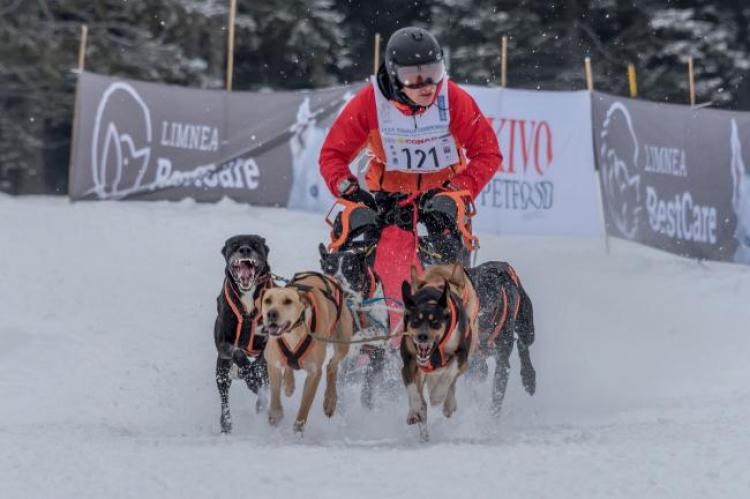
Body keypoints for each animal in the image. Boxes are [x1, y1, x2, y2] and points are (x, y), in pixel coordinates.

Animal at [213, 234, 274, 434]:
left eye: (255, 244)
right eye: (235, 244)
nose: (245, 249)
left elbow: (260, 364)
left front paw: (253, 376)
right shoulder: (223, 344)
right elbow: (238, 353)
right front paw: (250, 374)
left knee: (265, 390)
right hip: (221, 371)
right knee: (224, 399)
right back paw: (226, 424)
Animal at [260, 272, 354, 436]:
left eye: (288, 301)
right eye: (268, 300)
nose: (271, 313)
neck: (294, 332)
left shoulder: (314, 372)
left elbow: (305, 404)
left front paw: (298, 429)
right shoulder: (273, 364)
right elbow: (275, 394)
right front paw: (275, 415)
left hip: (343, 343)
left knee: (331, 366)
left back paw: (330, 400)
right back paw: (289, 384)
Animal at [402, 264, 478, 440]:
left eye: (435, 322)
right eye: (415, 321)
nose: (422, 336)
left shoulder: (461, 356)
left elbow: (449, 375)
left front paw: (438, 396)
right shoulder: (409, 362)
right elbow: (412, 390)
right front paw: (415, 411)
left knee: (450, 382)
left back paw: (447, 403)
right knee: (421, 396)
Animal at [468, 262, 536, 414]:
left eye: (490, 286)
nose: (482, 303)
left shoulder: (502, 362)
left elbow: (497, 397)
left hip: (526, 326)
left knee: (523, 345)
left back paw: (529, 378)